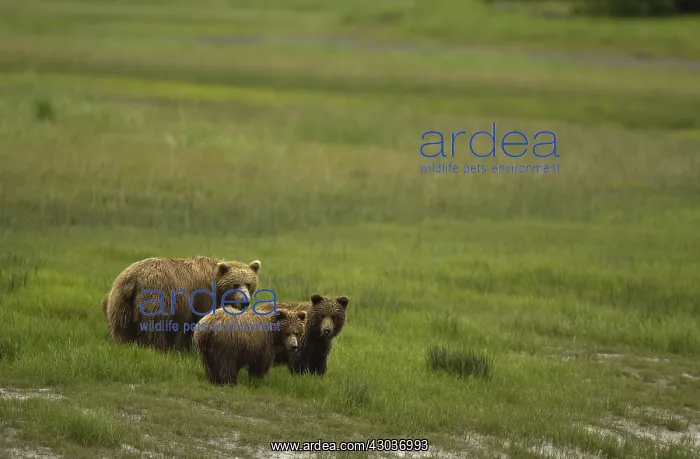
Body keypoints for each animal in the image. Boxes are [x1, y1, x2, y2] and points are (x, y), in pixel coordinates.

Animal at [104, 256, 261, 352]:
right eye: (235, 285)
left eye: (248, 284)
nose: (245, 302)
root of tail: (134, 279)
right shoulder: (203, 297)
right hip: (157, 296)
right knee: (155, 326)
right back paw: (158, 348)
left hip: (120, 300)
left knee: (121, 326)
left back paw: (123, 344)